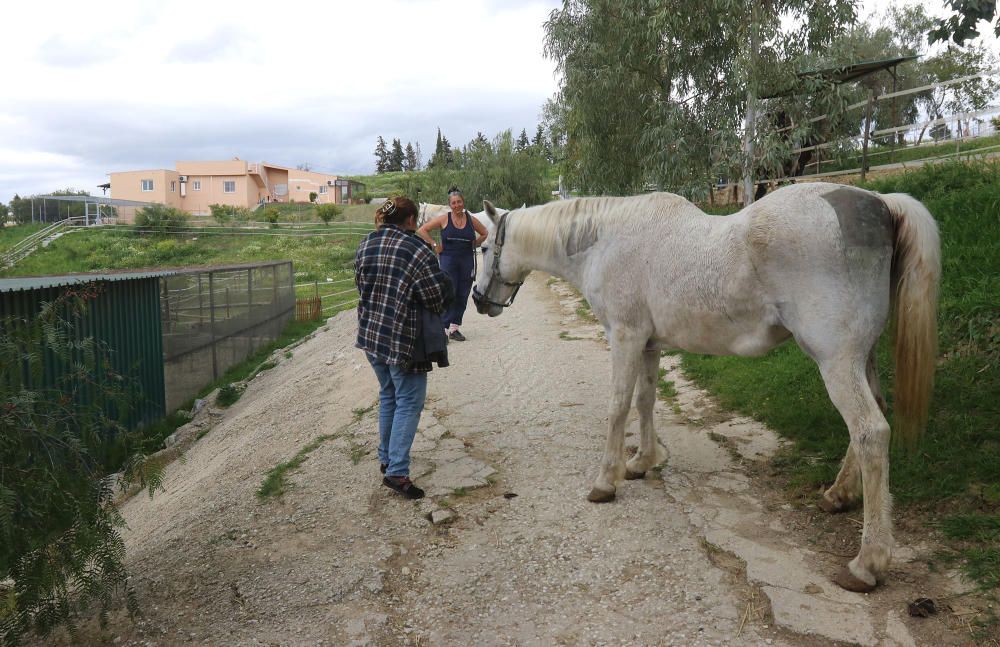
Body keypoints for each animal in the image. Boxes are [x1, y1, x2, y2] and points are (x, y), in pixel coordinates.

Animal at [472, 182, 940, 592]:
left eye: (483, 248)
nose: (478, 300)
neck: (604, 241)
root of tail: (879, 203)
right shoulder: (648, 344)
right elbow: (645, 401)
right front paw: (642, 462)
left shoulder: (624, 337)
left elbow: (618, 406)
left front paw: (607, 480)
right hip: (861, 357)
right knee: (871, 416)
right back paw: (838, 495)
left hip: (836, 360)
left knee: (870, 431)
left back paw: (867, 562)